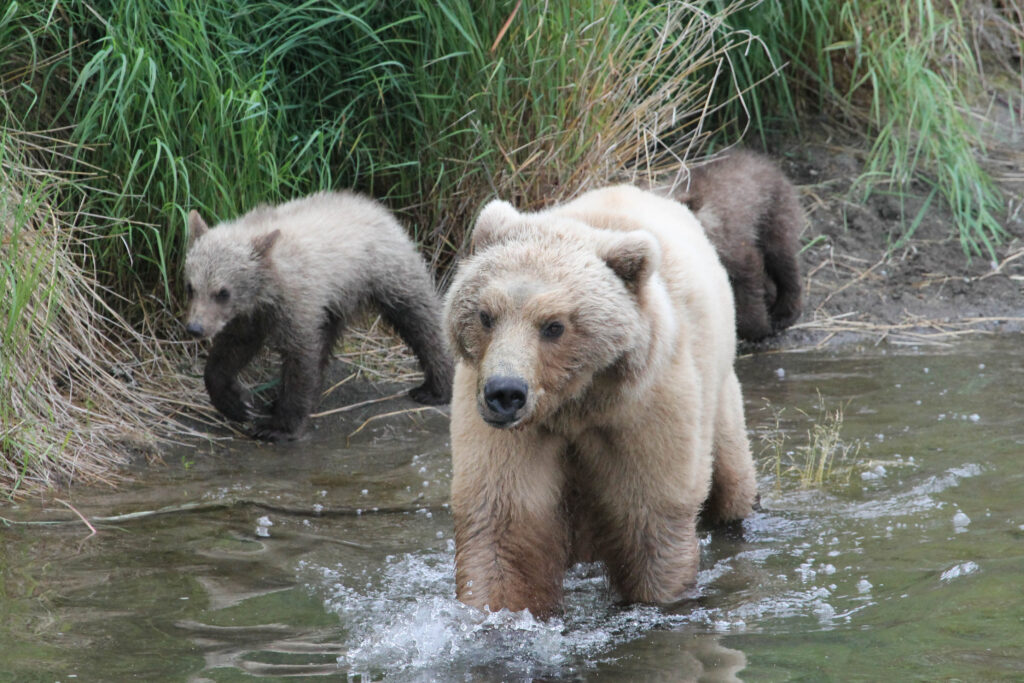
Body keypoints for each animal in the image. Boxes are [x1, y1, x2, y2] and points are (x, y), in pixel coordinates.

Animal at [184, 190, 453, 442]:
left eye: (223, 292)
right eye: (191, 287)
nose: (195, 328)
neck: (267, 288)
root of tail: (376, 207)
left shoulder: (297, 303)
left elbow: (301, 360)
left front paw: (278, 427)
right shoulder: (251, 315)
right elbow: (230, 351)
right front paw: (236, 403)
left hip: (386, 271)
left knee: (419, 318)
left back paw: (436, 388)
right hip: (334, 301)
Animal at [443, 185, 757, 618]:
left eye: (554, 326)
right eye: (485, 315)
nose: (504, 392)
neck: (576, 404)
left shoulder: (644, 410)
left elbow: (651, 517)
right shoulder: (503, 430)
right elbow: (504, 523)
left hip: (718, 392)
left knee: (731, 478)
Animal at [663, 149, 805, 341]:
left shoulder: (732, 247)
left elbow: (747, 282)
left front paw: (758, 328)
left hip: (772, 213)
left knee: (782, 260)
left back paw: (784, 312)